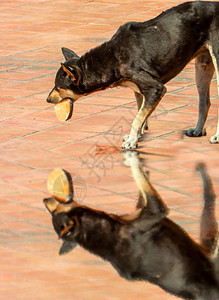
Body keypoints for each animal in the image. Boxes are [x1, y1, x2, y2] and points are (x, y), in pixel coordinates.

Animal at [44, 154, 219, 298]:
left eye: (53, 211)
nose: (45, 200)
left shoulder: (142, 208)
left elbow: (141, 185)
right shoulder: (156, 210)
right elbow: (139, 176)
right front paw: (132, 157)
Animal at [47, 1, 219, 149]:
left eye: (58, 87)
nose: (47, 100)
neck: (112, 57)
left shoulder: (155, 88)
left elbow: (137, 118)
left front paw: (131, 141)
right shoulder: (139, 91)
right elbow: (141, 114)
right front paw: (136, 137)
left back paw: (216, 137)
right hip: (202, 68)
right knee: (204, 102)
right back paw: (198, 130)